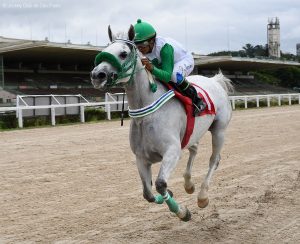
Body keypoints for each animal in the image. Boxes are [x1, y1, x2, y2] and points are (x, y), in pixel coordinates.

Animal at [90, 24, 233, 221]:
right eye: (104, 51)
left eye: (123, 53)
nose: (97, 75)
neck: (146, 115)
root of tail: (215, 80)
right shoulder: (141, 157)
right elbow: (148, 194)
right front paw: (171, 194)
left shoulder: (171, 151)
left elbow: (159, 184)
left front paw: (182, 212)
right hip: (192, 133)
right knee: (194, 149)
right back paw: (189, 184)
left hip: (219, 130)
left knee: (214, 160)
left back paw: (202, 196)